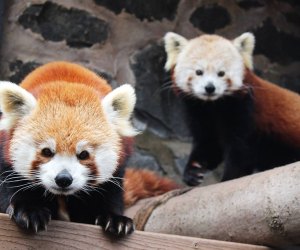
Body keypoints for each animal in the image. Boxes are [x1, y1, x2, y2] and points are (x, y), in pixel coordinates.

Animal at [0, 61, 178, 235]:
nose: (63, 179)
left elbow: (108, 195)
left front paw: (115, 219)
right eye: (47, 151)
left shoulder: (118, 168)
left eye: (83, 154)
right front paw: (30, 212)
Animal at [163, 31, 300, 186]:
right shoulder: (198, 113)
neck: (213, 106)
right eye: (199, 72)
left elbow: (241, 151)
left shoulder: (244, 110)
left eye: (221, 73)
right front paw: (193, 171)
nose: (209, 87)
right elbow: (209, 144)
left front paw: (229, 178)